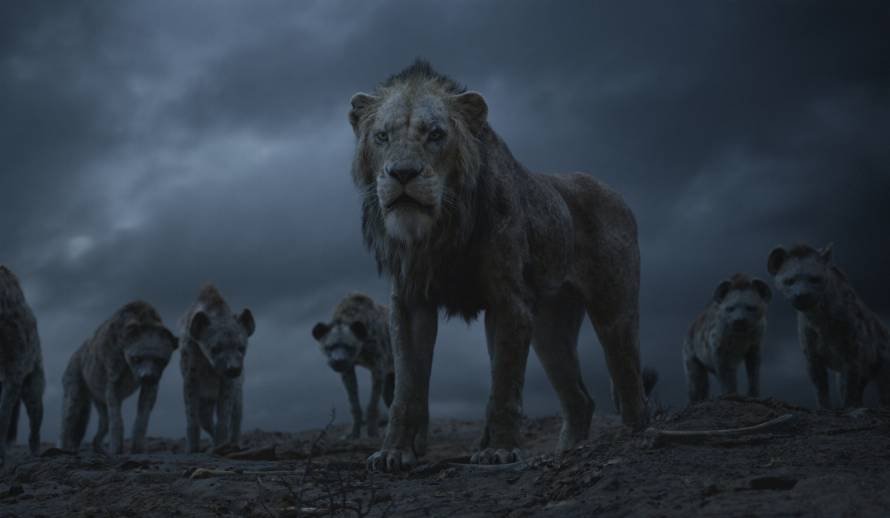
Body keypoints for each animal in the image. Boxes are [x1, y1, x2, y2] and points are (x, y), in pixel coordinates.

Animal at [348, 60, 648, 471]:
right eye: (382, 136)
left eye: (436, 134)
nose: (403, 173)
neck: (440, 230)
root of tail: (617, 194)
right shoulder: (409, 303)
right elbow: (407, 388)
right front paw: (394, 452)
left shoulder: (508, 301)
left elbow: (504, 382)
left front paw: (500, 450)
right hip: (549, 329)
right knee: (580, 399)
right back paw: (568, 451)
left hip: (613, 310)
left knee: (629, 376)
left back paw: (632, 438)